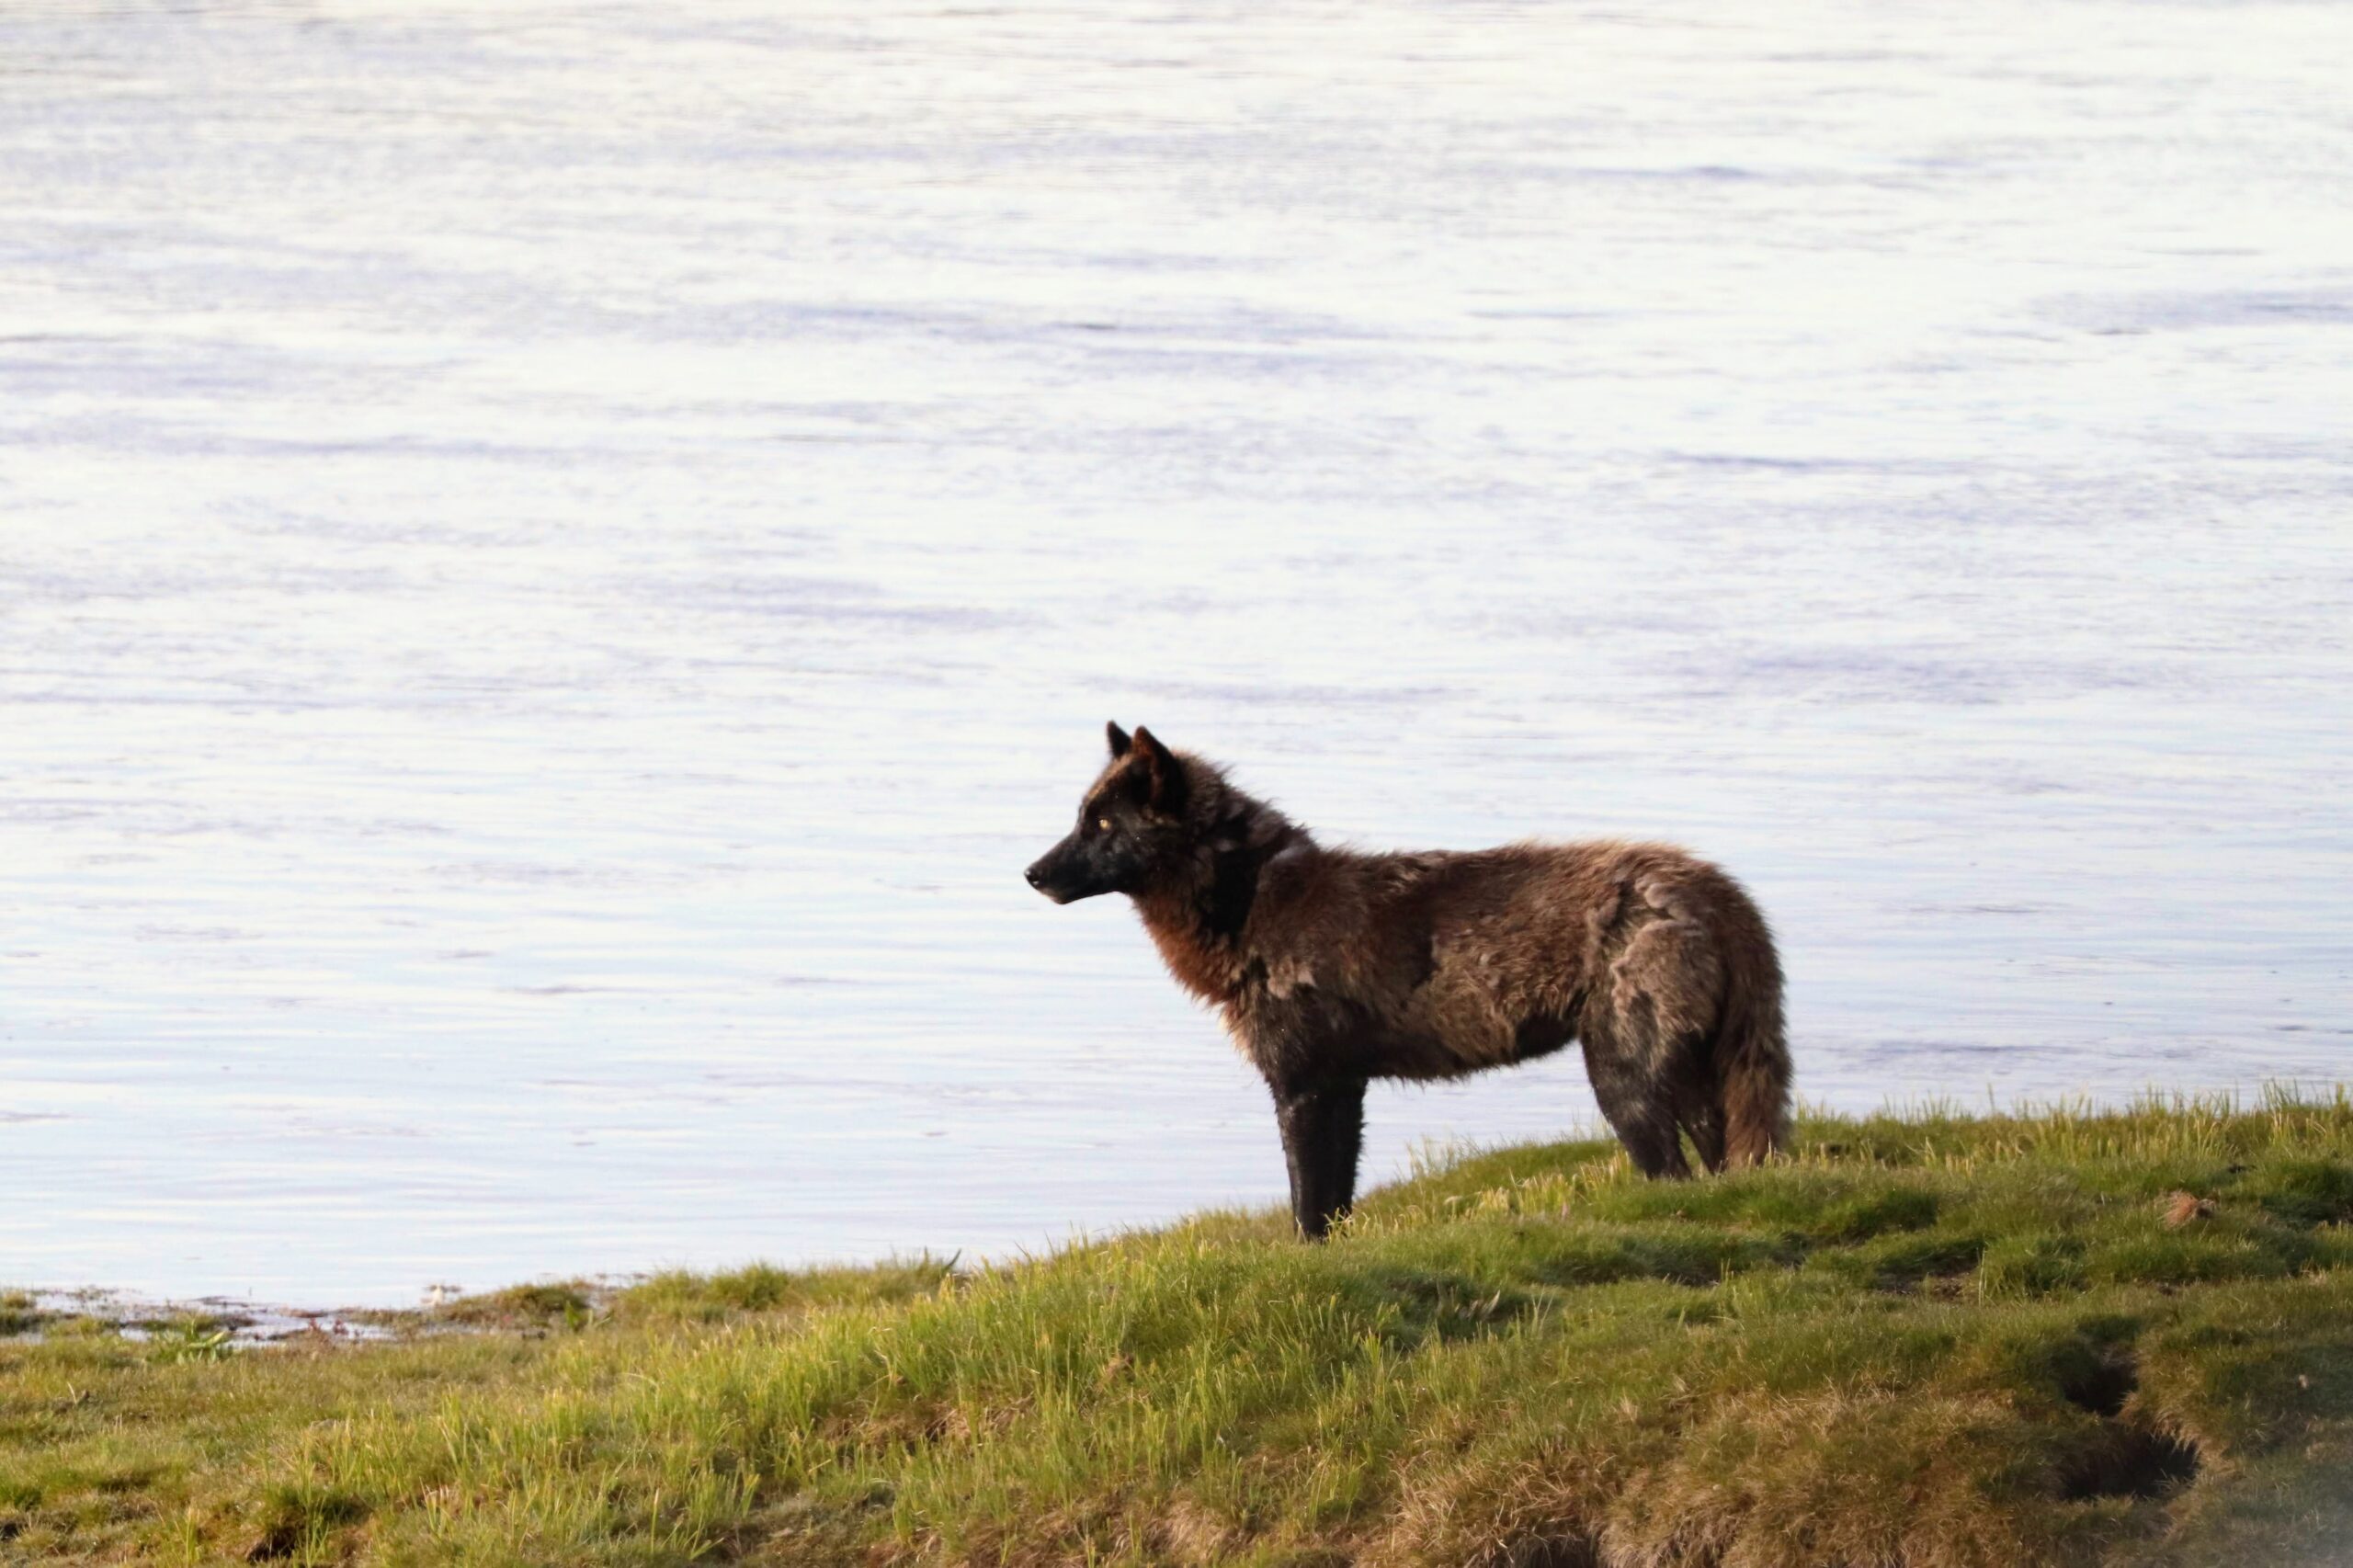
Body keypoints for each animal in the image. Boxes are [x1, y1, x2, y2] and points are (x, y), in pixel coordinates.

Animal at [1025, 724, 1791, 1239]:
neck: (1254, 899)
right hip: (1695, 1077)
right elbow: (1335, 1203)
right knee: (1722, 1162)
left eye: (1102, 823)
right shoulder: (1342, 1087)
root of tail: (1717, 889)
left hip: (1622, 1082)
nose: (1031, 873)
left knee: (1673, 1174)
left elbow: (1308, 1206)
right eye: (1080, 817)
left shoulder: (1304, 1087)